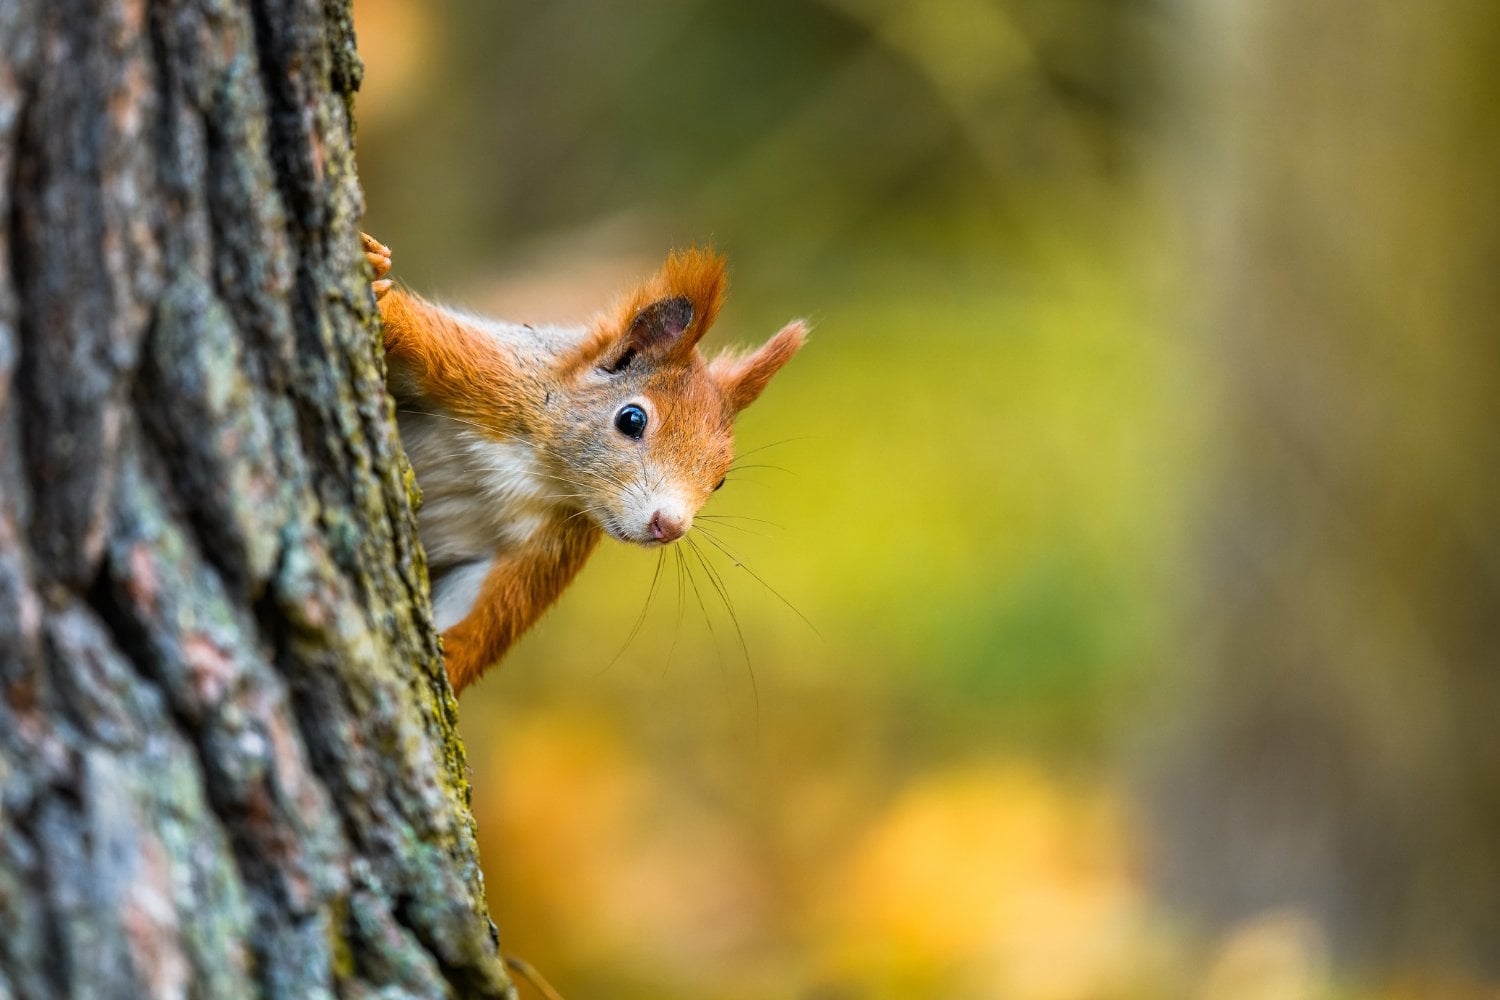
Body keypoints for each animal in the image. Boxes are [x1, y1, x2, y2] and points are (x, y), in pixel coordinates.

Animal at [361, 233, 805, 695]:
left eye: (720, 481)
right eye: (632, 419)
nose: (669, 526)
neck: (540, 470)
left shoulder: (546, 548)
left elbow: (487, 618)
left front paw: (444, 669)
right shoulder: (483, 371)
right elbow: (415, 329)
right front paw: (375, 274)